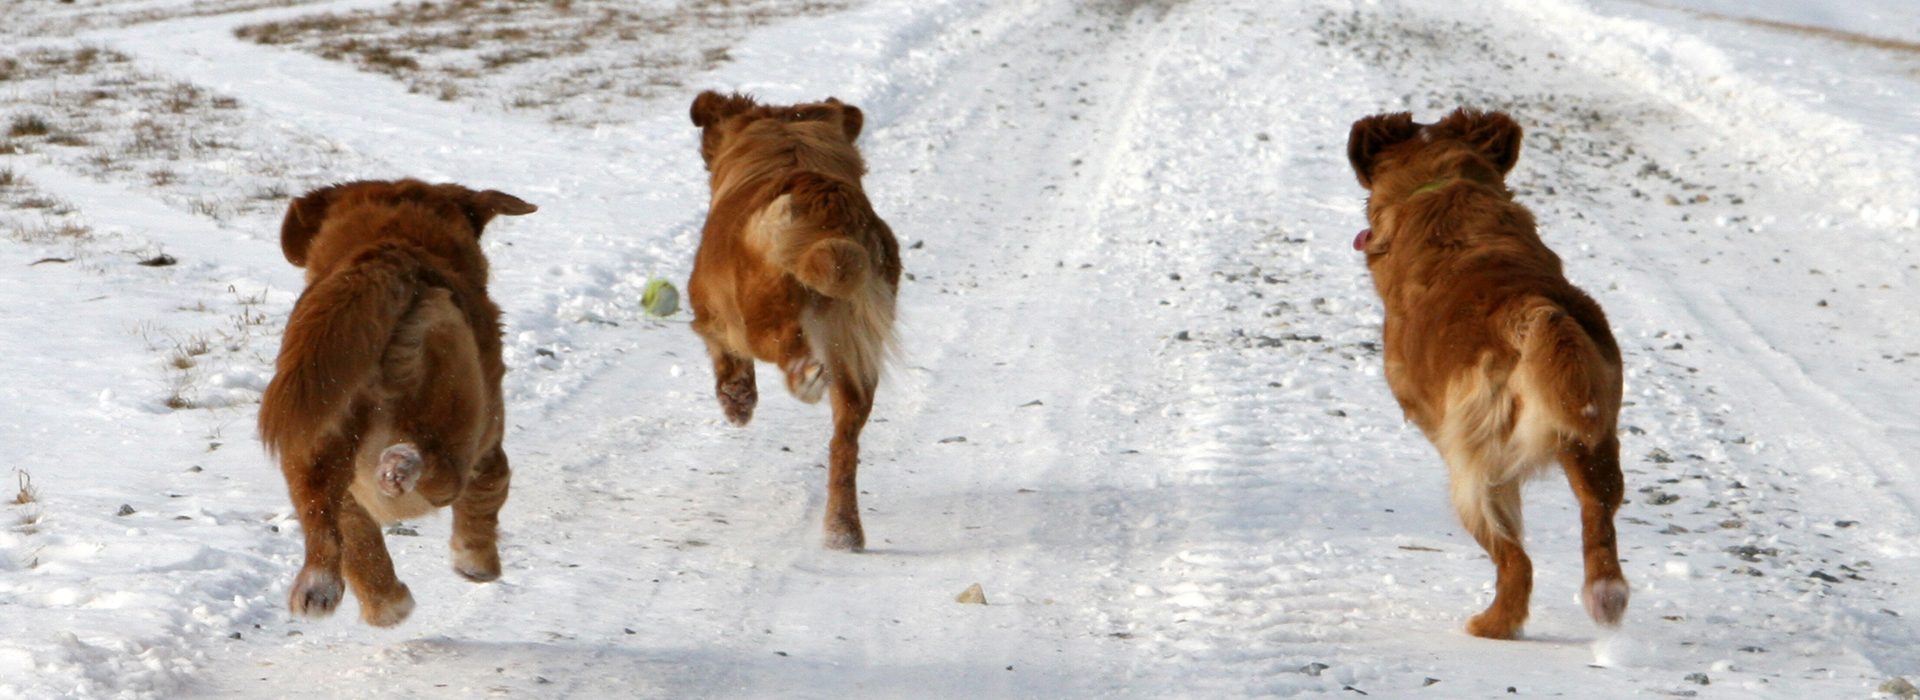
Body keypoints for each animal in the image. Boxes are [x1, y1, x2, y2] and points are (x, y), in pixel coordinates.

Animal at [687, 91, 902, 552]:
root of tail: (829, 205)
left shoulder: (710, 312)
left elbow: (723, 354)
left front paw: (736, 401)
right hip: (857, 353)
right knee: (844, 443)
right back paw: (843, 532)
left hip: (761, 317)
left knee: (789, 350)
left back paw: (804, 378)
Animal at [1344, 109, 1628, 636]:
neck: (1441, 186)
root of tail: (1531, 313)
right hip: (1594, 437)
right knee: (1597, 515)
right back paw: (1606, 597)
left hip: (1477, 474)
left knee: (1514, 559)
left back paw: (1493, 623)